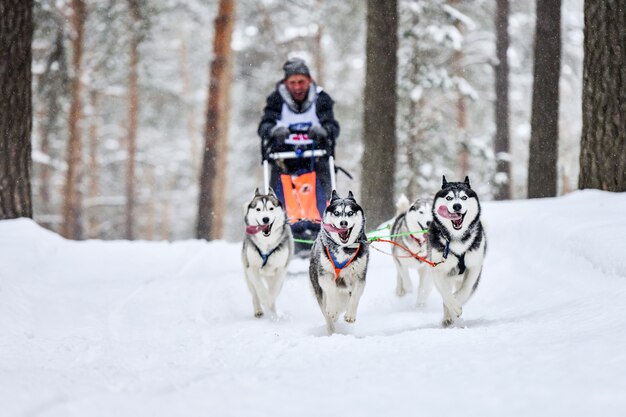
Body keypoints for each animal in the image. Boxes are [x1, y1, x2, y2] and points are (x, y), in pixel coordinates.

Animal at [243, 187, 294, 316]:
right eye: (258, 209)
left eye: (271, 208)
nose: (265, 219)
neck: (267, 243)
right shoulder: (252, 268)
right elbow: (259, 287)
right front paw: (265, 299)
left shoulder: (281, 268)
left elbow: (274, 289)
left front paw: (270, 301)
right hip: (247, 273)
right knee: (254, 292)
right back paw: (258, 310)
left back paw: (273, 311)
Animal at [308, 190, 366, 334]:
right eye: (336, 213)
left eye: (350, 213)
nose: (343, 223)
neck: (343, 248)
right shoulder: (324, 275)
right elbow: (331, 290)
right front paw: (332, 309)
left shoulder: (360, 277)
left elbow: (355, 296)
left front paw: (350, 315)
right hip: (319, 290)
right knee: (327, 313)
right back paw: (332, 330)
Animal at [424, 176, 488, 324]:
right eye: (449, 198)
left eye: (464, 197)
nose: (457, 206)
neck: (457, 238)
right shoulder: (438, 269)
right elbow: (446, 294)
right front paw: (454, 307)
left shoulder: (475, 267)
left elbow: (466, 289)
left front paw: (457, 303)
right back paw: (448, 317)